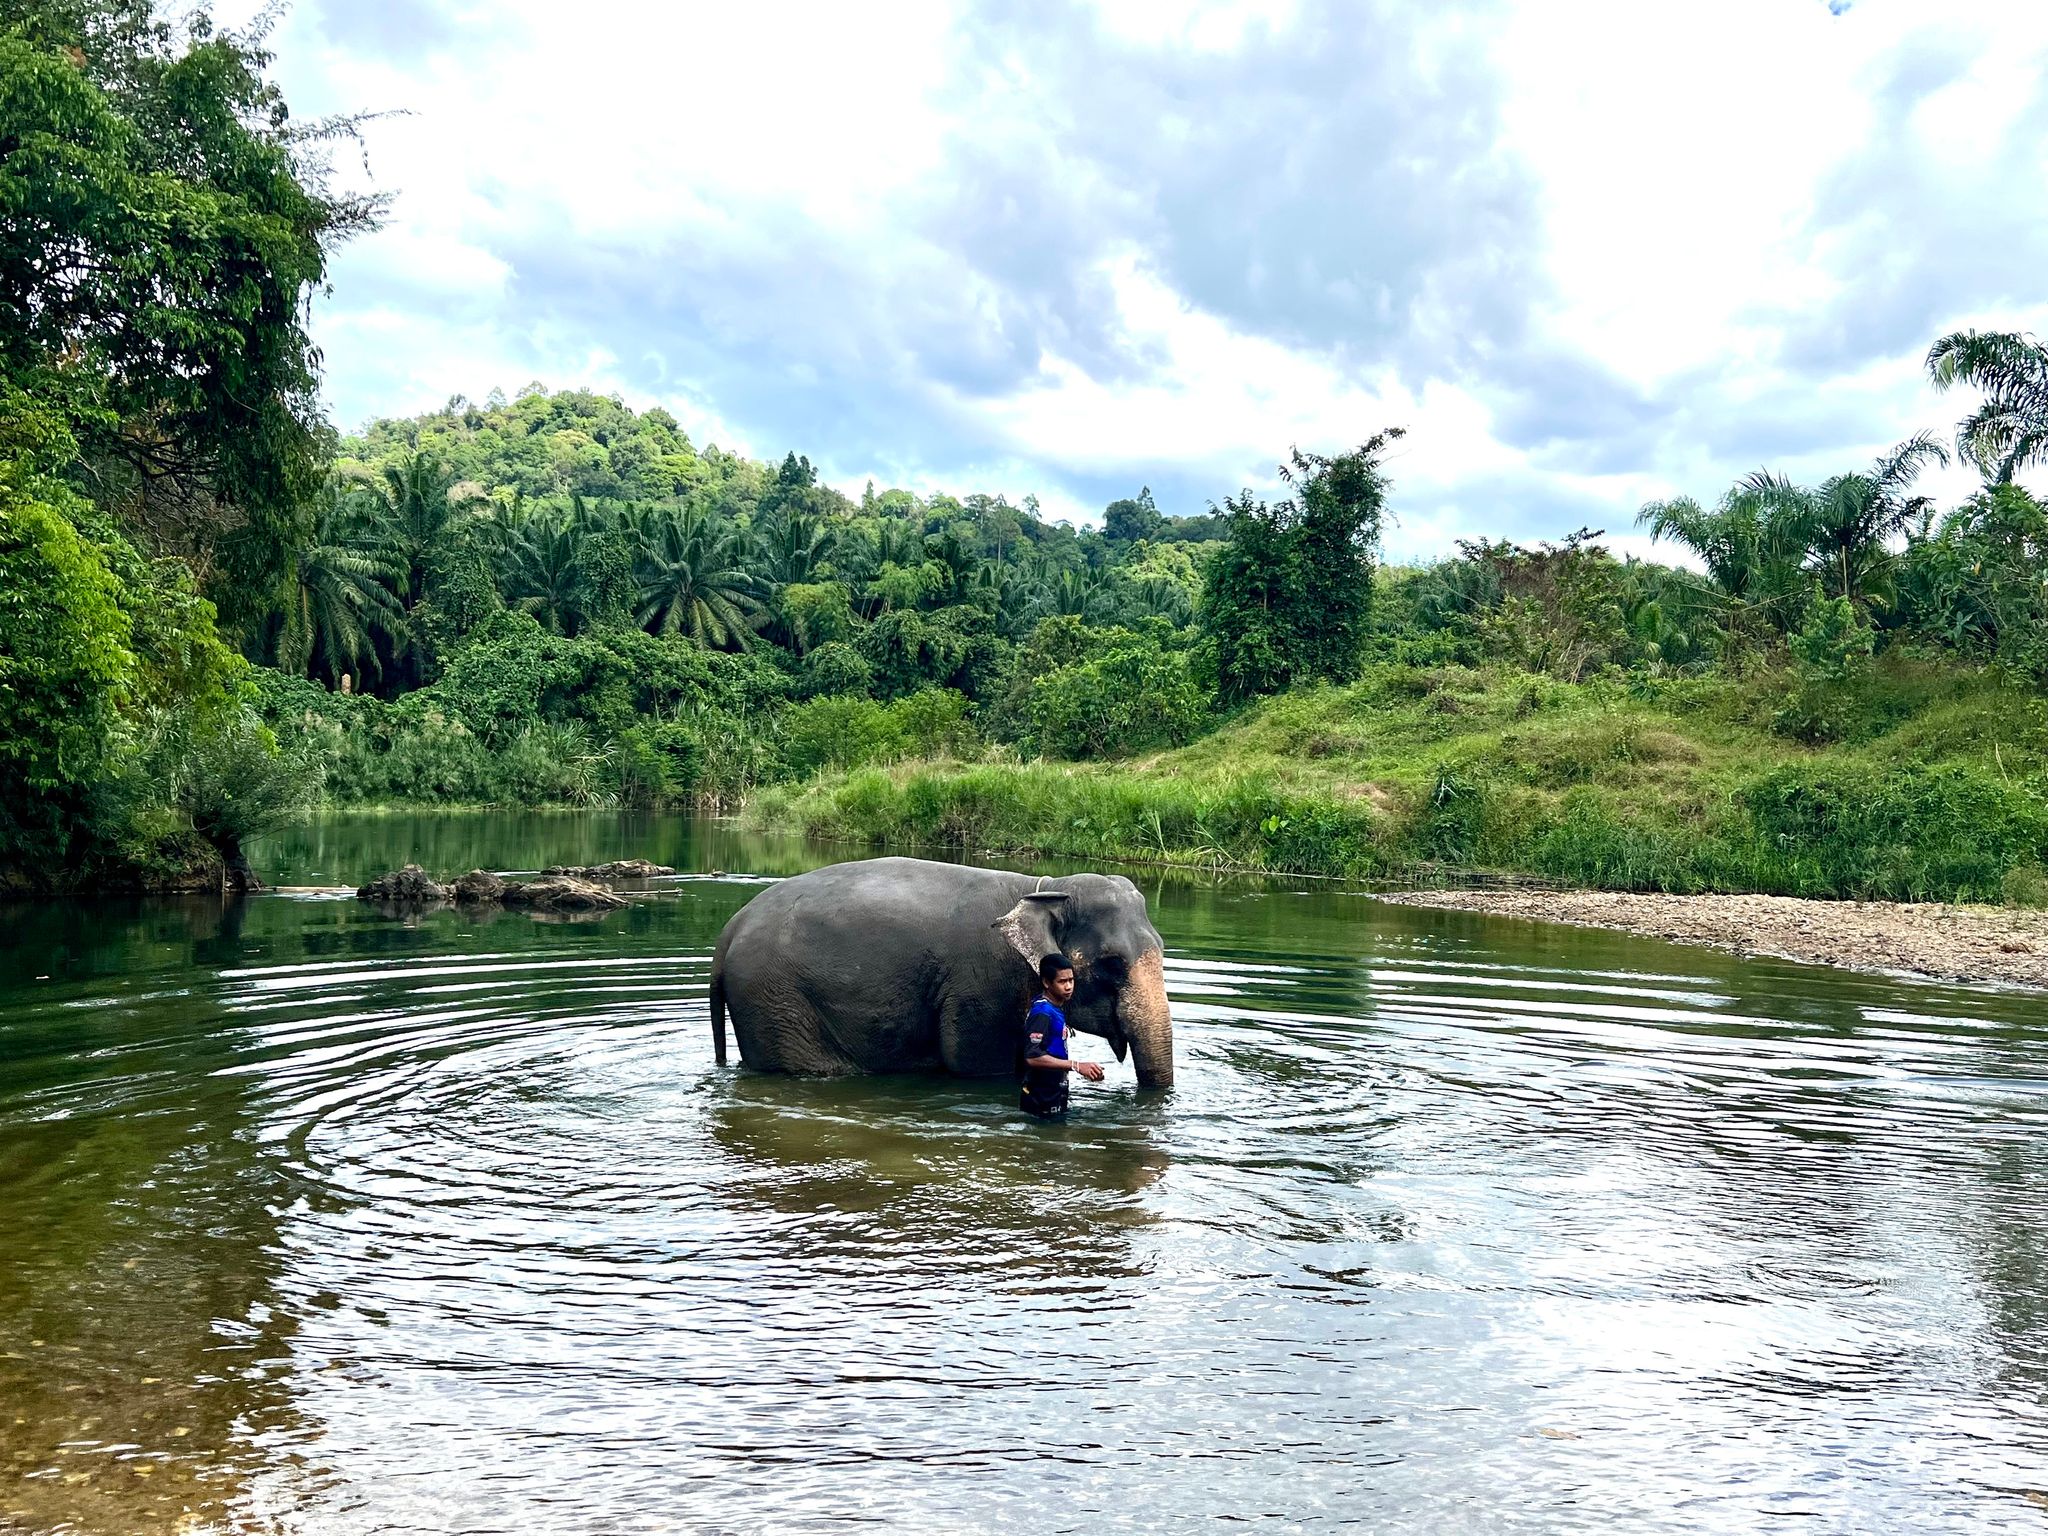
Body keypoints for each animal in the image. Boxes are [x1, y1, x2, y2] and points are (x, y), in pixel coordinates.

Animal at [712, 856, 1179, 1097]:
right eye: (1112, 963)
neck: (1043, 887)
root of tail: (729, 930)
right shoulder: (980, 983)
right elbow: (976, 1064)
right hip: (773, 999)